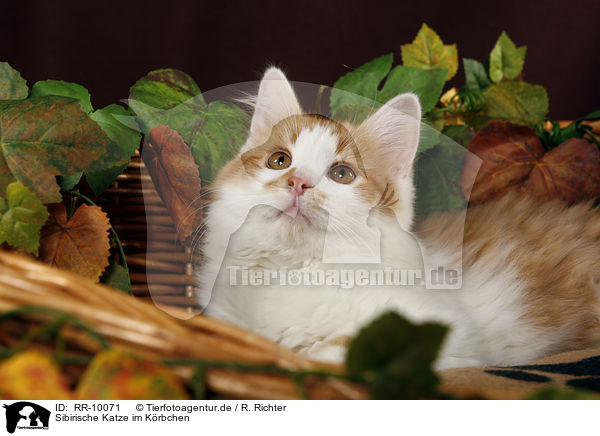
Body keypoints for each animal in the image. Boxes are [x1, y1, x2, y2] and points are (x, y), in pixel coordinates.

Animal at [197, 67, 600, 368]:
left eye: (341, 174)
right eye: (279, 161)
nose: (298, 183)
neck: (291, 270)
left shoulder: (451, 342)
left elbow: (335, 354)